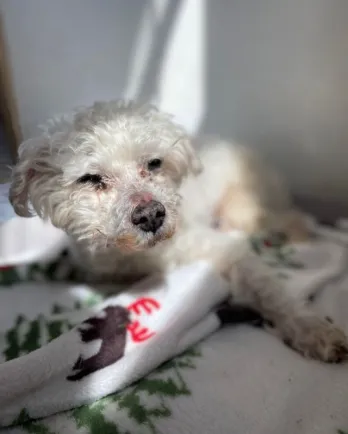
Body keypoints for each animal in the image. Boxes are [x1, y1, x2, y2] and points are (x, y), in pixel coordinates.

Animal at [9, 99, 348, 362]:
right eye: (90, 179)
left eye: (154, 163)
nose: (151, 215)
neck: (134, 257)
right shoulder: (103, 274)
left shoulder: (219, 249)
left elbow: (270, 290)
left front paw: (313, 330)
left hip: (244, 208)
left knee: (289, 222)